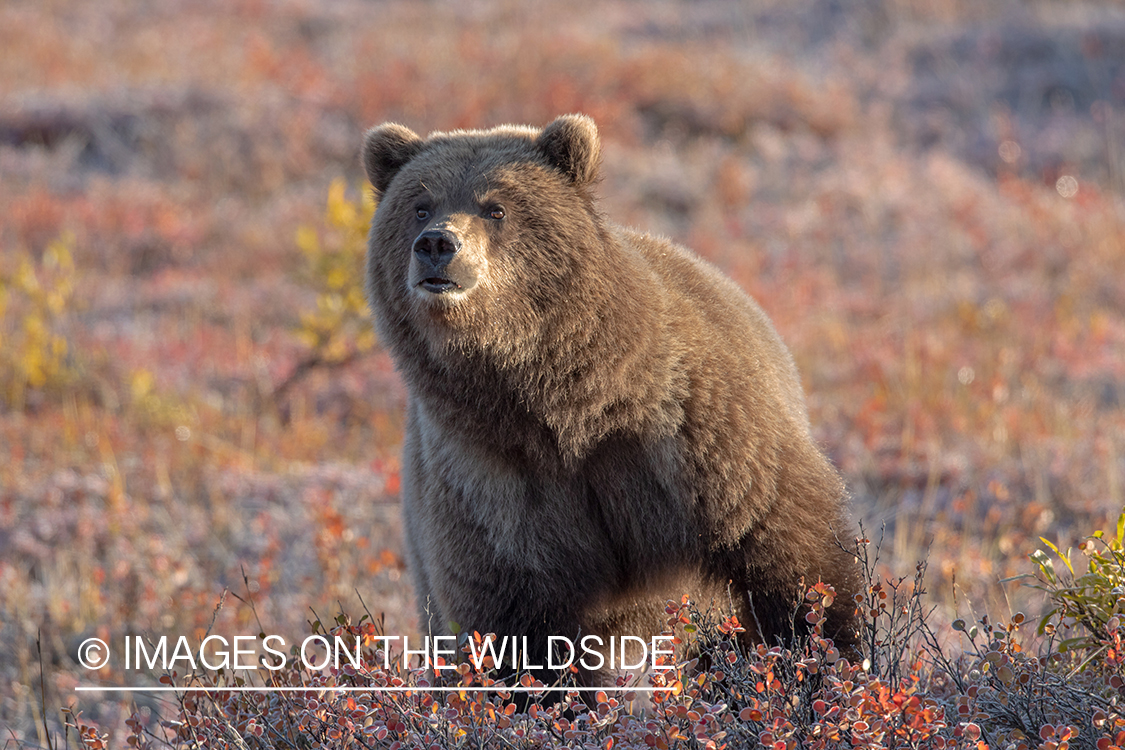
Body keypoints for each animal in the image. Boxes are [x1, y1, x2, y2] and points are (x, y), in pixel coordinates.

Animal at [364, 114, 855, 683]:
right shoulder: (489, 482)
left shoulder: (694, 437)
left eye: (496, 207)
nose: (437, 244)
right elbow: (515, 627)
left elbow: (797, 563)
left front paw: (824, 661)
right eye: (420, 204)